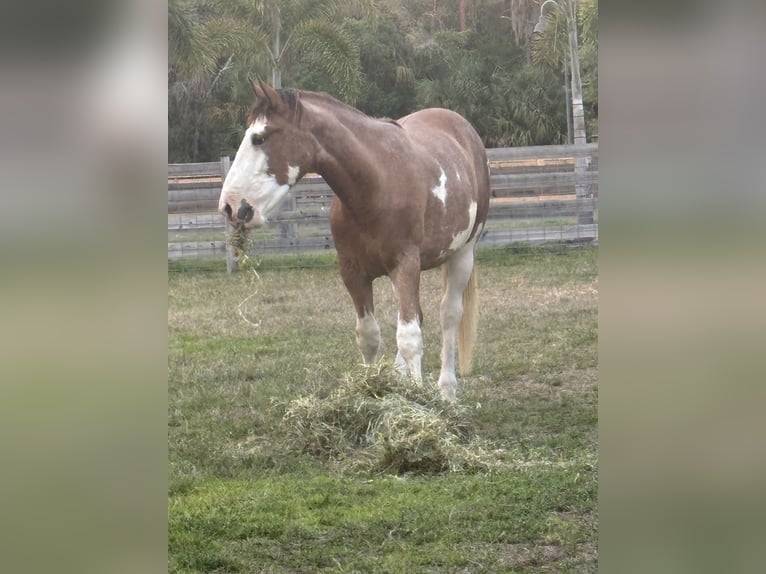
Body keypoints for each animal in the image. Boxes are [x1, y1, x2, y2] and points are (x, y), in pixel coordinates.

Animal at [219, 80, 490, 401]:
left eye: (258, 138)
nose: (229, 206)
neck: (377, 184)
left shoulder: (405, 265)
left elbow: (409, 338)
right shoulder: (353, 272)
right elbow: (369, 336)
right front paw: (374, 389)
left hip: (462, 254)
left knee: (448, 315)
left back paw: (446, 391)